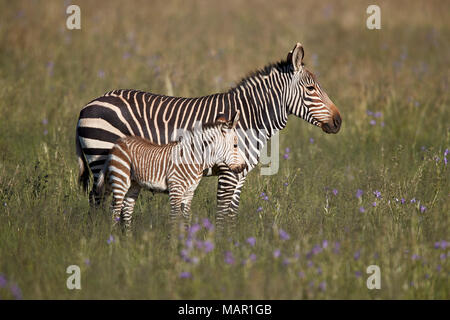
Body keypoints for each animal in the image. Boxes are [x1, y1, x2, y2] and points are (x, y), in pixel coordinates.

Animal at [96, 111, 246, 231]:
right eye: (235, 145)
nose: (243, 166)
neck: (193, 159)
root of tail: (118, 143)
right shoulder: (176, 190)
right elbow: (174, 219)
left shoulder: (189, 193)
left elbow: (185, 220)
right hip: (120, 179)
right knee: (114, 211)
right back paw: (114, 241)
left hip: (134, 184)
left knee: (126, 210)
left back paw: (127, 241)